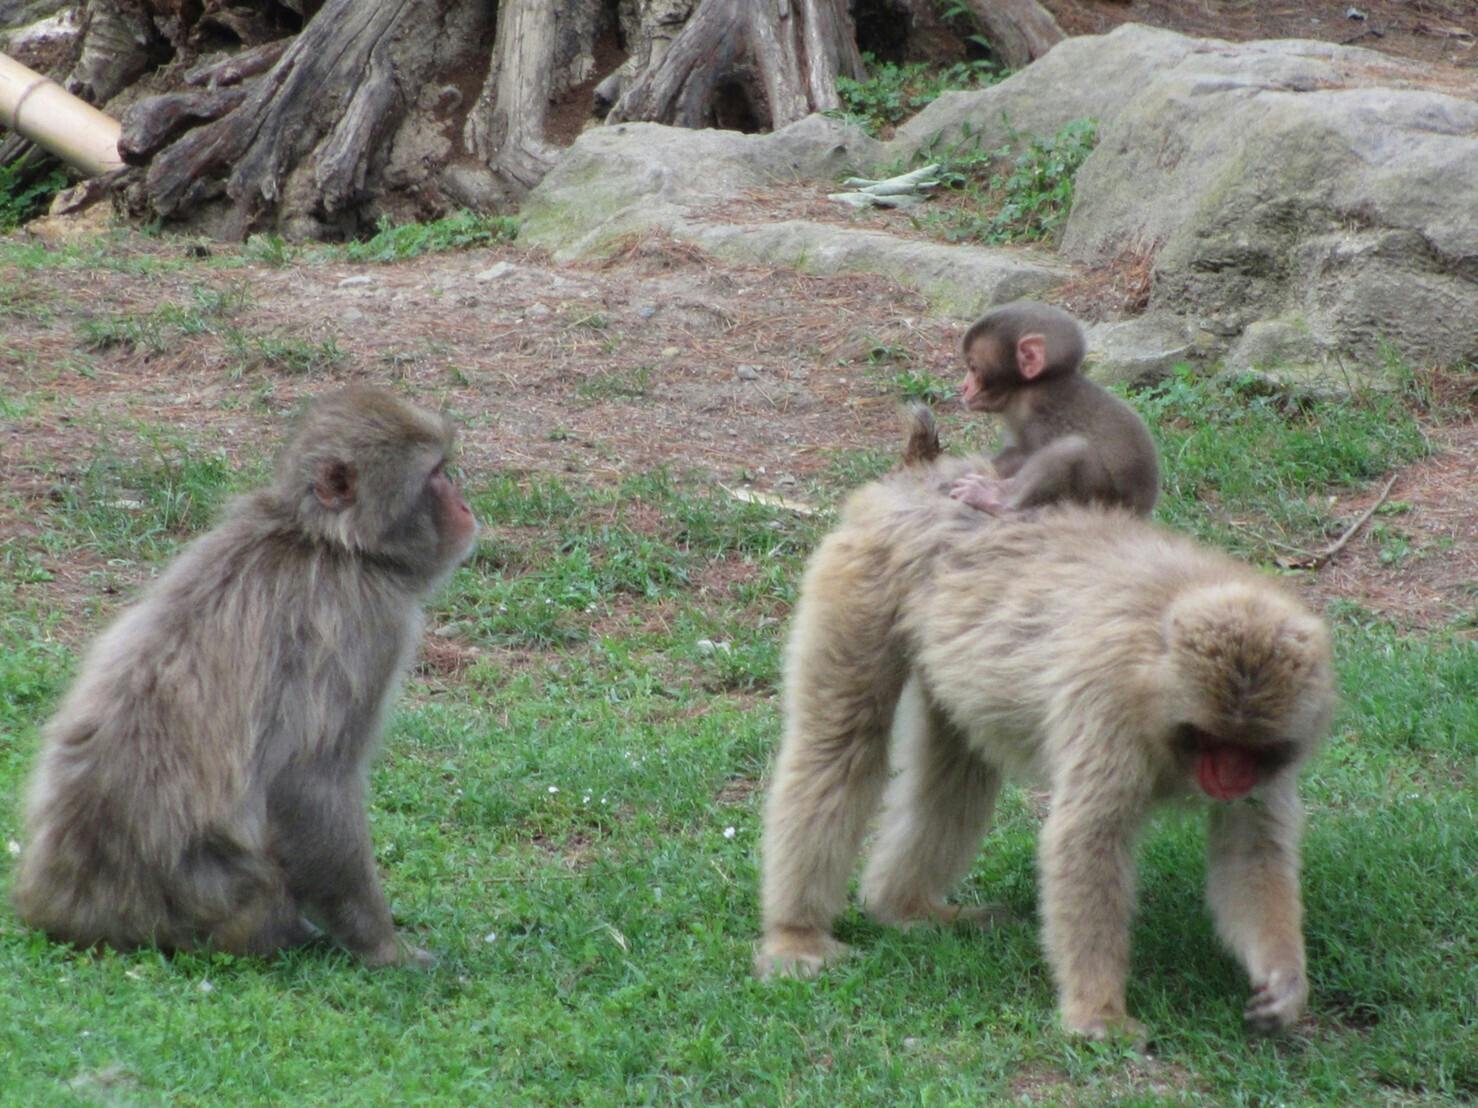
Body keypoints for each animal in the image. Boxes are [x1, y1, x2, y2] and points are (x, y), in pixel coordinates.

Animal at [951, 299, 1158, 517]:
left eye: (973, 367)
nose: (964, 387)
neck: (1031, 386)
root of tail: (1137, 513)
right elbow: (1015, 451)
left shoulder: (1038, 410)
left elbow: (1027, 454)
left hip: (1099, 501)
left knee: (1071, 449)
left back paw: (996, 500)